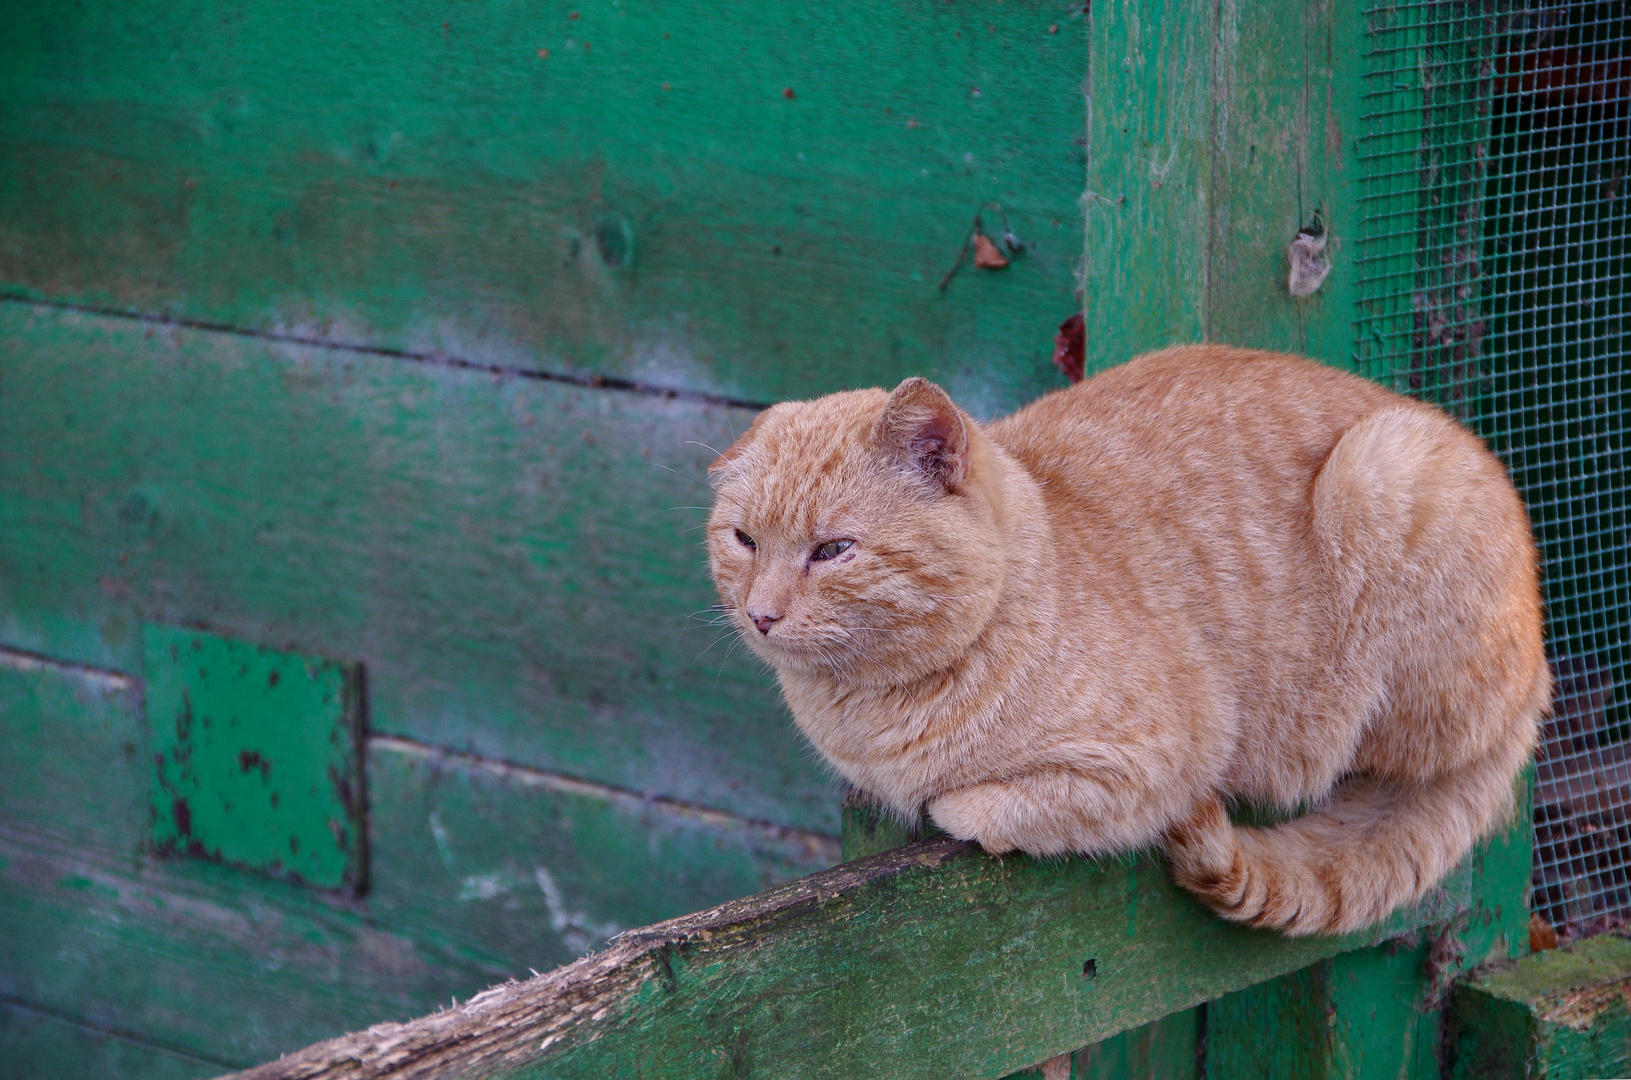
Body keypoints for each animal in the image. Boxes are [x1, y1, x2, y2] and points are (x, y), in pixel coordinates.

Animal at [707, 349, 1546, 939]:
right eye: (744, 541)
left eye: (832, 551)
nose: (761, 615)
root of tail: (1540, 674)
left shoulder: (1149, 766)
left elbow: (983, 806)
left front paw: (953, 806)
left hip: (1383, 475)